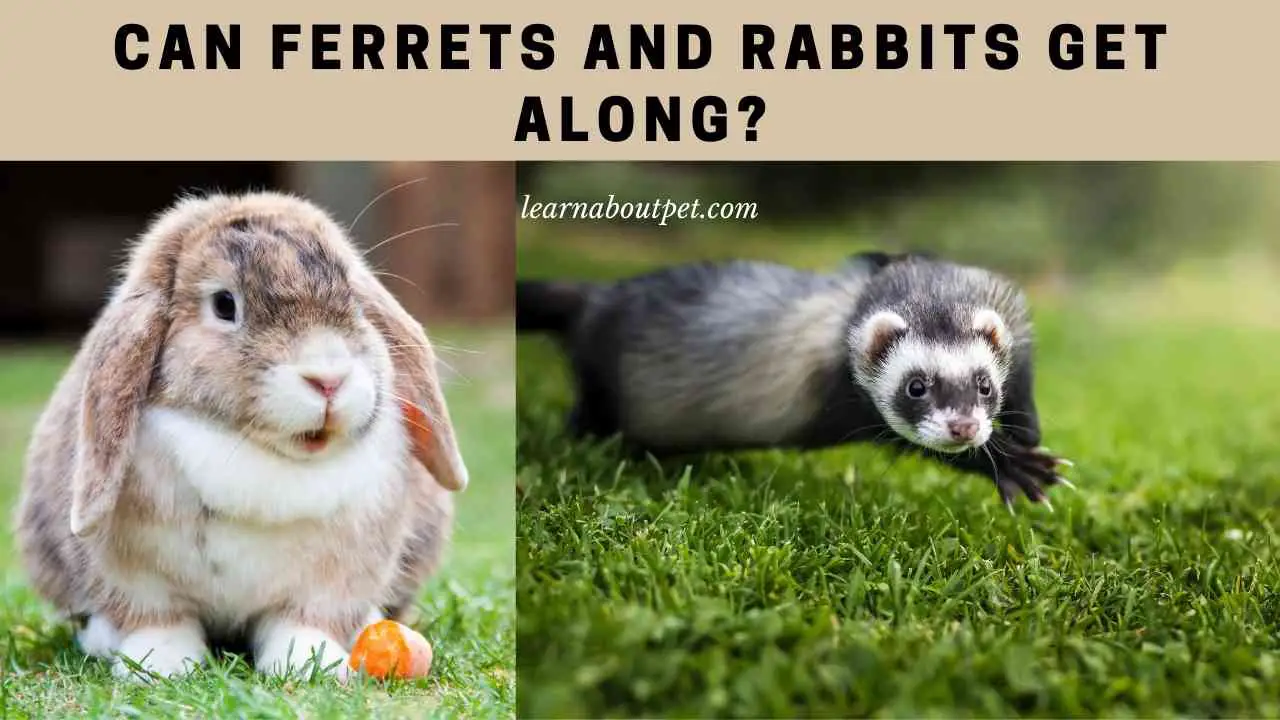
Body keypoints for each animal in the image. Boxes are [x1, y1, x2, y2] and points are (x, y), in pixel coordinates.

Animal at [14, 190, 470, 681]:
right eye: (224, 305)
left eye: (356, 302)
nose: (328, 379)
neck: (257, 453)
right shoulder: (137, 579)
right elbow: (158, 621)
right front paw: (160, 666)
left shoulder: (332, 581)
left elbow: (303, 622)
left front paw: (310, 665)